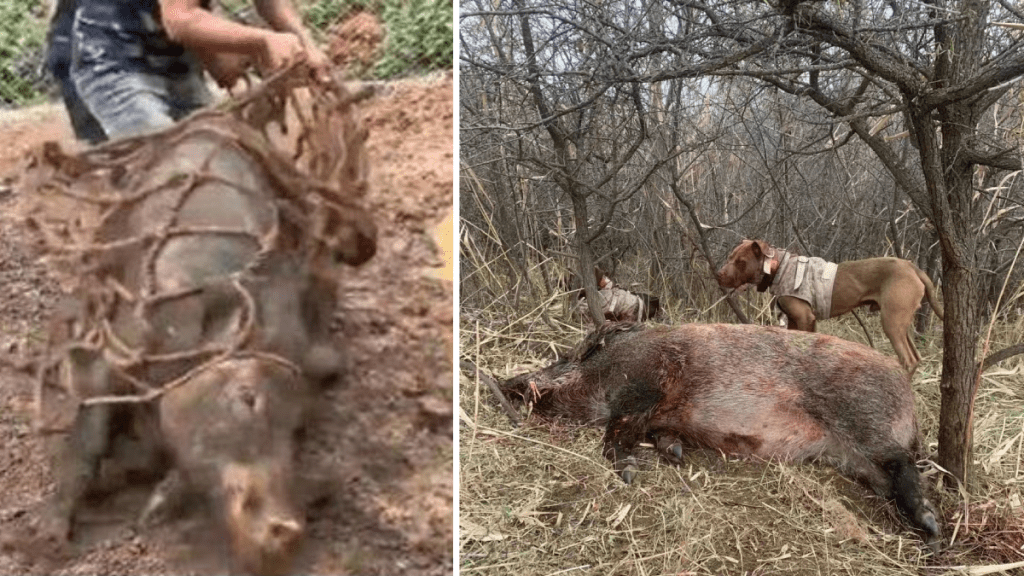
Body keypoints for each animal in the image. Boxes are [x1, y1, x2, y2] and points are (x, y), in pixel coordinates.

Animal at [712, 237, 942, 373]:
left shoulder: (805, 317)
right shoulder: (794, 320)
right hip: (900, 322)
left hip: (891, 321)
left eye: (741, 262)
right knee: (915, 357)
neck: (780, 267)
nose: (718, 274)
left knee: (908, 359)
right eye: (730, 257)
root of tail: (913, 268)